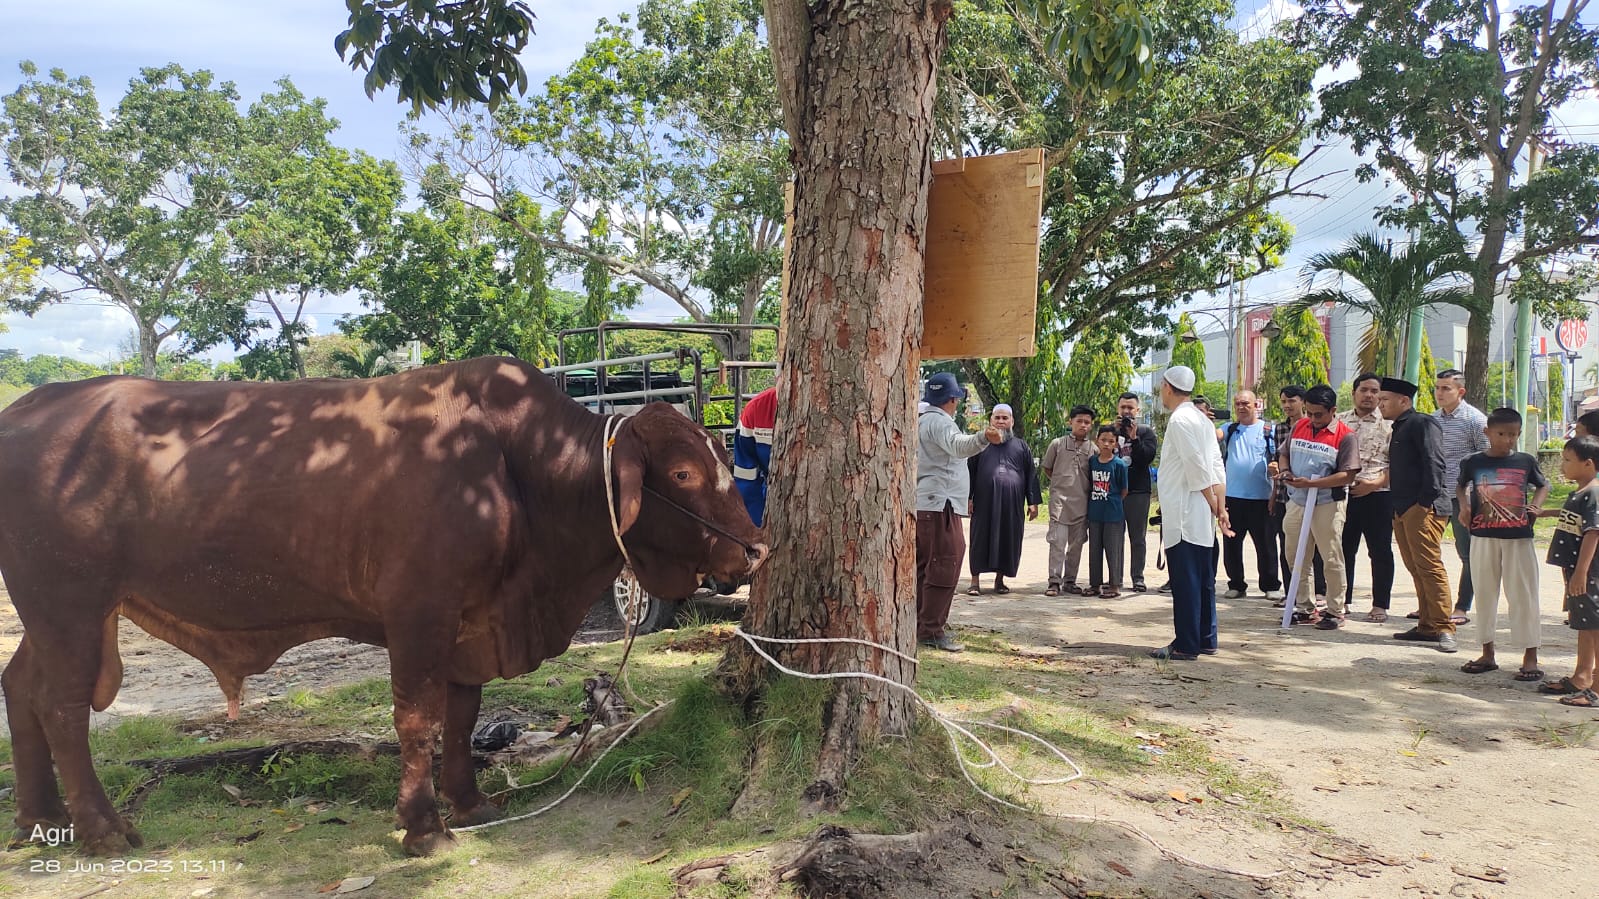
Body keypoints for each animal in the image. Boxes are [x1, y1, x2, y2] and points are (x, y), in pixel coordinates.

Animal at [0, 355, 767, 851]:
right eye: (682, 472)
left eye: (720, 458)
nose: (756, 549)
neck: (515, 471)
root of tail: (28, 407)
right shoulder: (419, 616)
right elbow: (418, 718)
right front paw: (423, 825)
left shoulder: (470, 624)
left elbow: (462, 716)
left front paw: (469, 802)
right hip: (70, 606)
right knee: (63, 708)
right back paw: (101, 829)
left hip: (55, 618)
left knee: (21, 686)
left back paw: (39, 818)